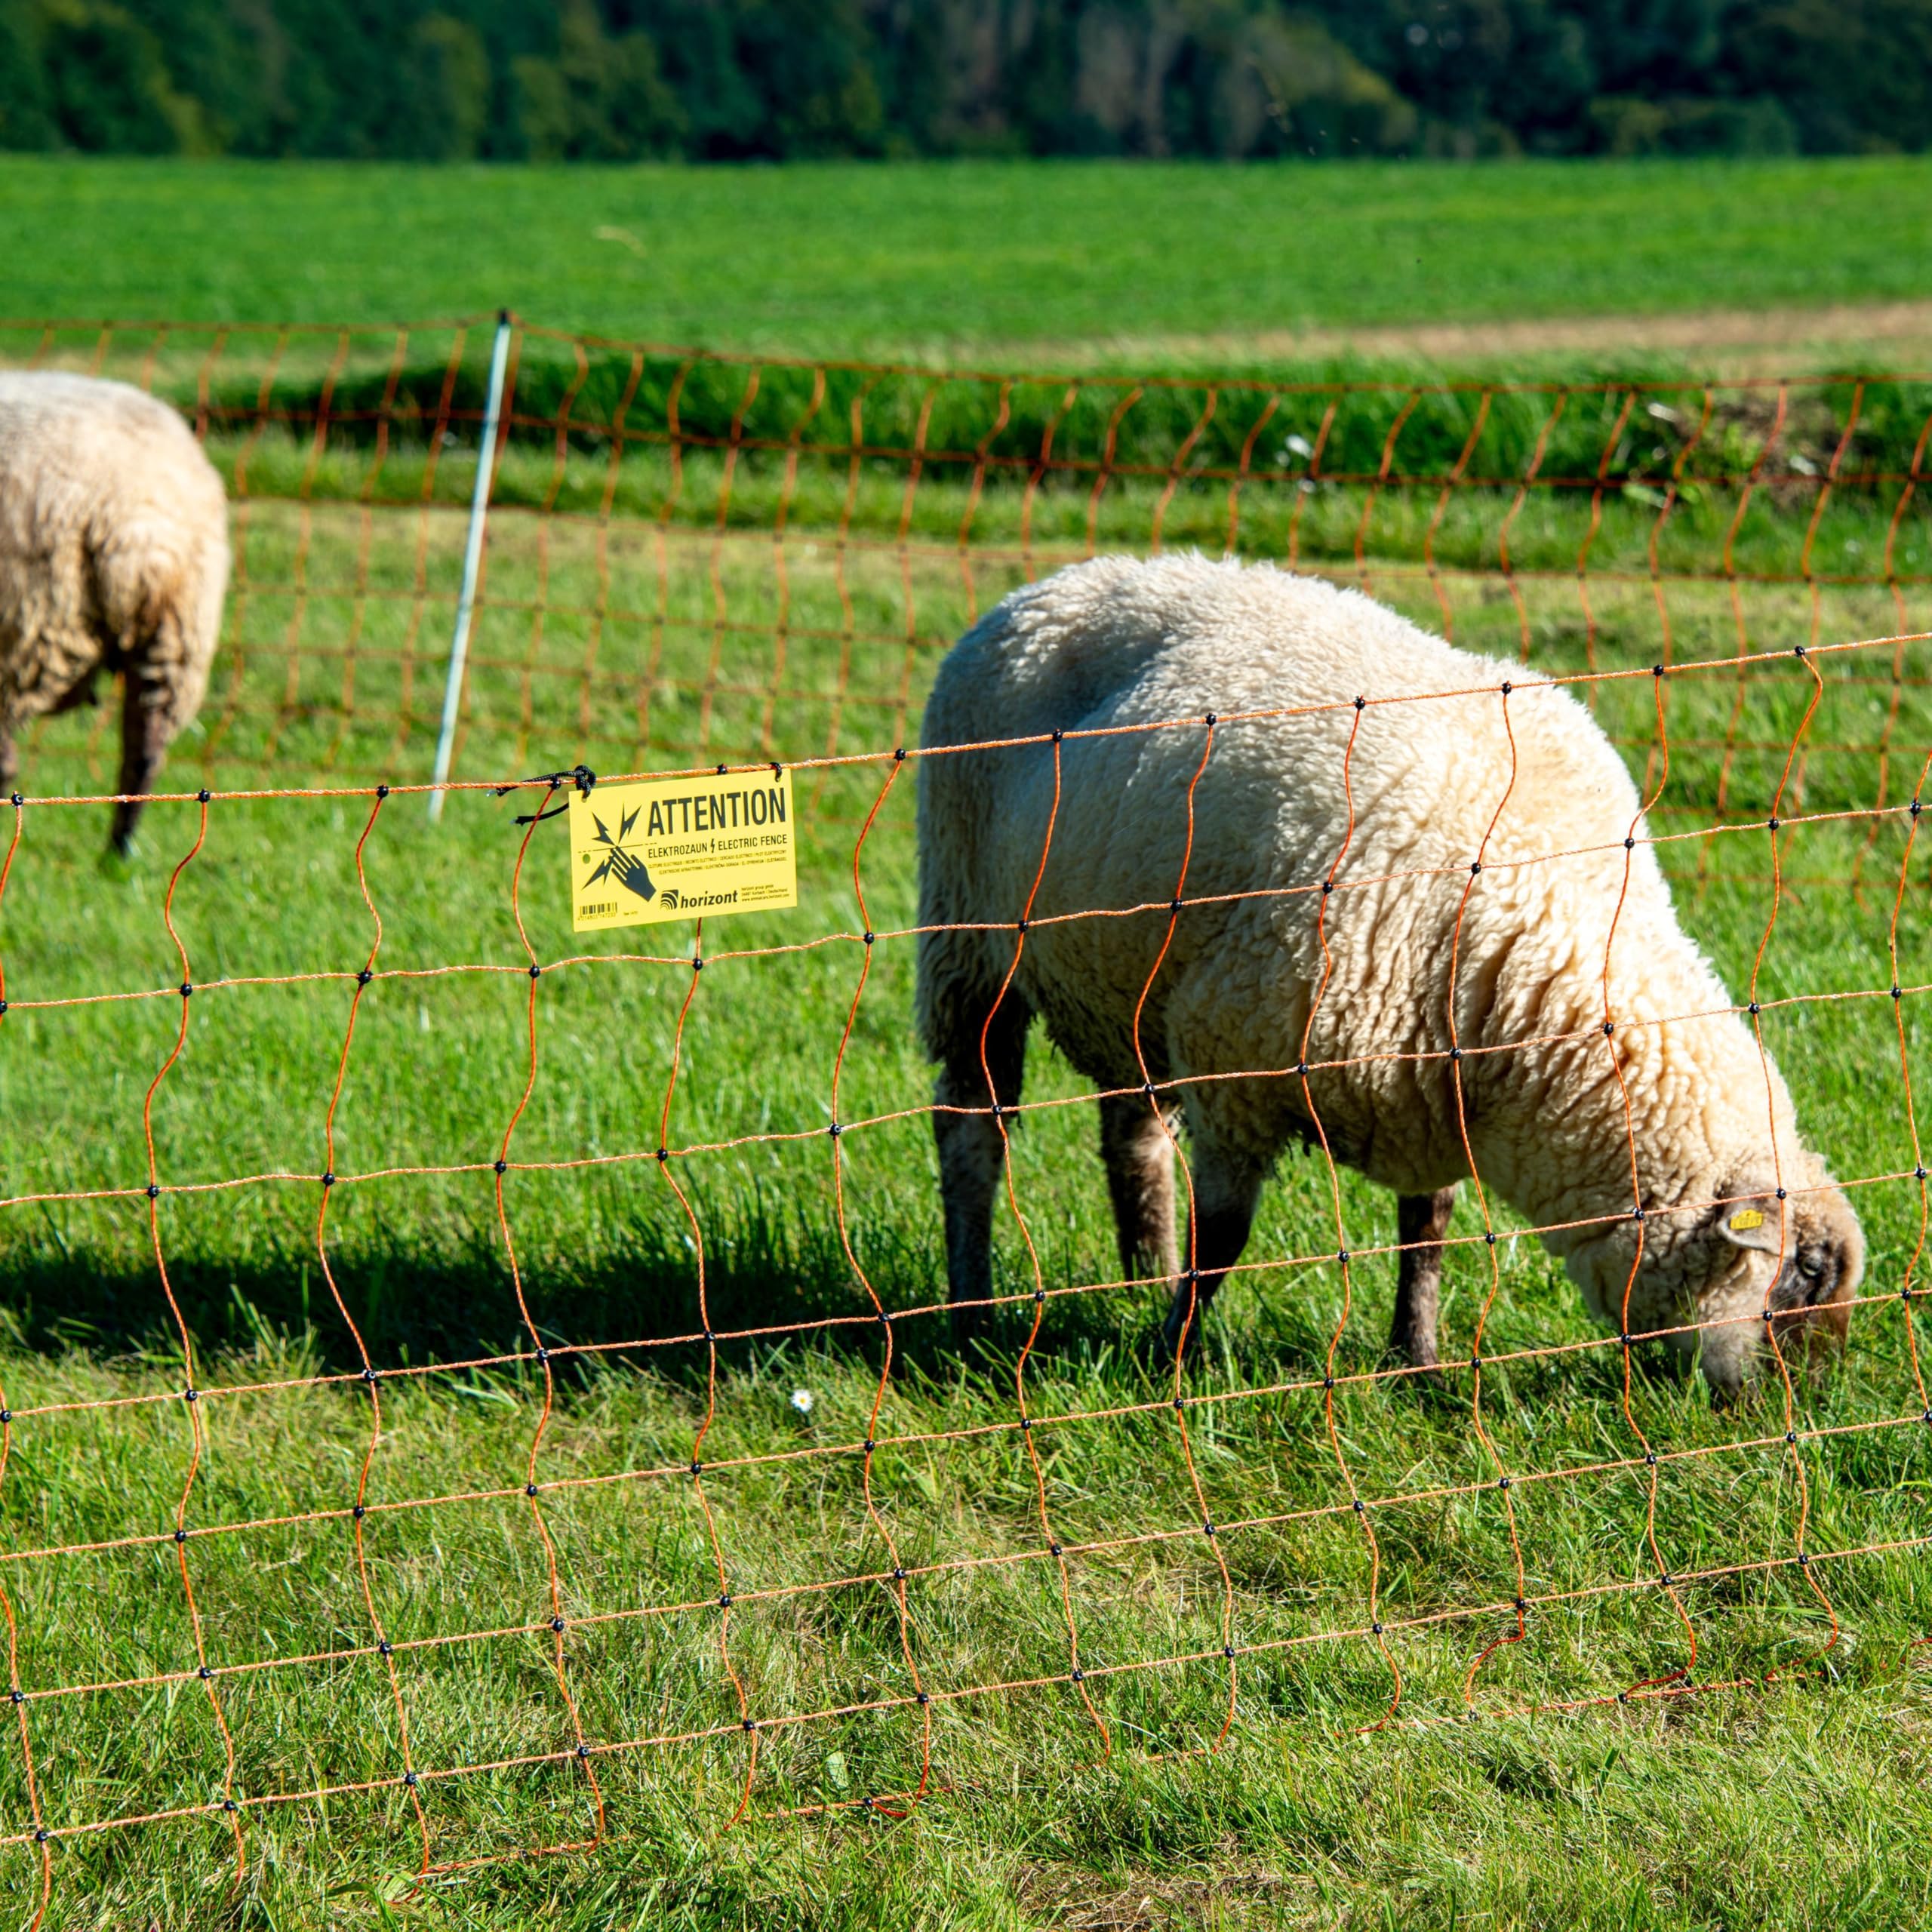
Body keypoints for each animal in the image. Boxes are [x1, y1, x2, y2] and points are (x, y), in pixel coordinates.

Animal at [915, 554, 1863, 1396]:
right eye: (1803, 1274)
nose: (1800, 1407)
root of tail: (1062, 578)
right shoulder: (1237, 1062)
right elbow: (1224, 1236)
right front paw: (1171, 1357)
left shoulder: (1422, 1085)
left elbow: (1426, 1230)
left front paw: (1415, 1356)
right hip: (967, 935)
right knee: (972, 1130)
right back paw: (973, 1309)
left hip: (1131, 979)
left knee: (1133, 1133)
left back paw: (1143, 1273)